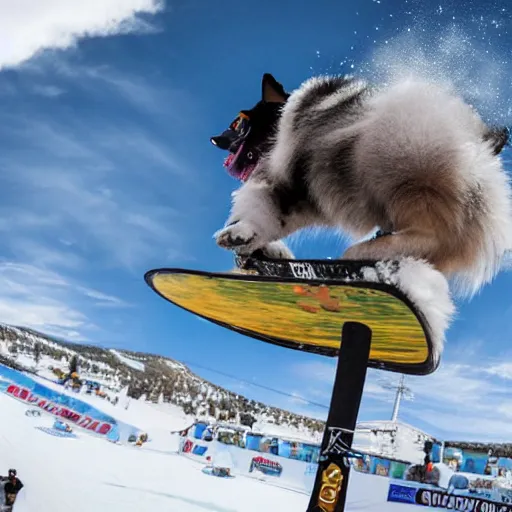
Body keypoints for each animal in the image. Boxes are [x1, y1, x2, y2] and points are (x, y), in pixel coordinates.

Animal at [211, 73, 512, 296]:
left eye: (238, 123)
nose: (215, 139)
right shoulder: (303, 198)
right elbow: (269, 221)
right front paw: (250, 243)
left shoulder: (290, 183)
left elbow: (262, 208)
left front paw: (240, 234)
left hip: (392, 157)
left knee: (437, 237)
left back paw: (363, 253)